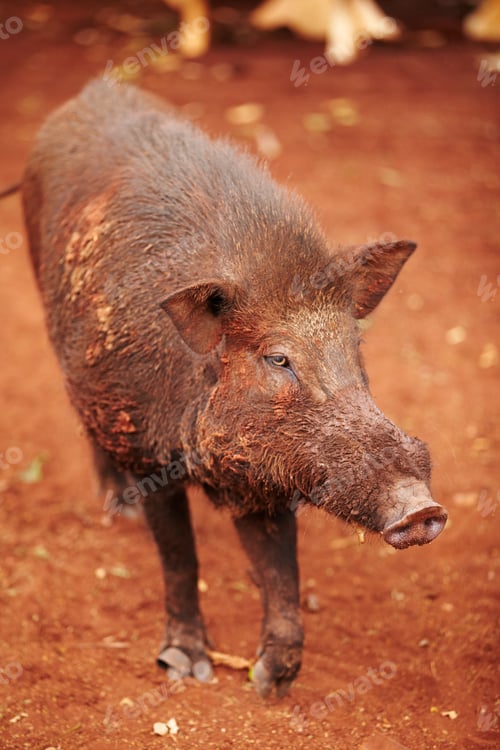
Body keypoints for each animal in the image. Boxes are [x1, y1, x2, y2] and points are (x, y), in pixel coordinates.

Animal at [22, 80, 447, 697]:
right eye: (278, 358)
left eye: (355, 345)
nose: (422, 508)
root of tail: (94, 90)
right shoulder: (153, 458)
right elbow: (181, 558)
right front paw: (184, 667)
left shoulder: (270, 475)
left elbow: (282, 571)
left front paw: (270, 683)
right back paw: (118, 512)